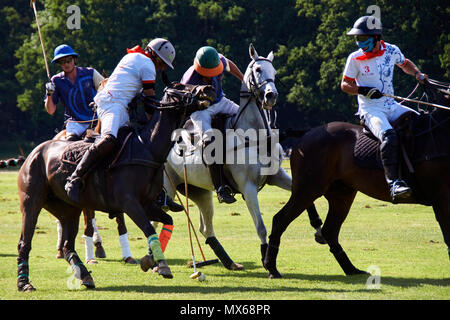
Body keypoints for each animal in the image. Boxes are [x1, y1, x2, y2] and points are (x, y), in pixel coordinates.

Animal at [16, 83, 215, 292]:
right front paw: (162, 266)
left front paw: (149, 260)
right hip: (31, 203)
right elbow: (148, 228)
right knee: (24, 242)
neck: (147, 149)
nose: (208, 89)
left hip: (68, 210)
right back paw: (24, 283)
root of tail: (33, 153)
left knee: (67, 245)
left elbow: (166, 221)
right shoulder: (129, 203)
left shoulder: (148, 204)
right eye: (180, 86)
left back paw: (85, 276)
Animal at [163, 44, 322, 270]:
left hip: (200, 191)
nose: (270, 96)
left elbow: (305, 196)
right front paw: (266, 259)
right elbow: (261, 227)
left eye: (275, 72)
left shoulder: (278, 176)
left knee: (205, 228)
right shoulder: (248, 187)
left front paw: (319, 229)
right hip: (168, 187)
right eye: (258, 70)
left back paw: (229, 263)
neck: (255, 135)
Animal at [264, 81, 450, 278]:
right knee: (280, 219)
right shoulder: (440, 196)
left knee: (330, 231)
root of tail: (307, 133)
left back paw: (351, 269)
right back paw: (272, 268)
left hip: (341, 194)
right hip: (308, 188)